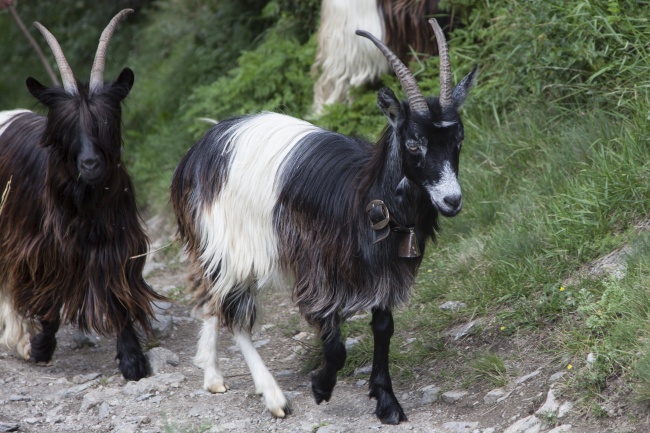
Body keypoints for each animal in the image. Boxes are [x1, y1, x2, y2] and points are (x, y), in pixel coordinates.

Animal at [0, 10, 162, 380]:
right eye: (66, 126)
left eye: (107, 122)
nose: (90, 164)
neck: (85, 204)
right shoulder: (42, 246)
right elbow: (46, 295)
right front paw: (39, 347)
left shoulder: (115, 242)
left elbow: (117, 294)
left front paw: (132, 359)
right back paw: (17, 337)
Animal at [172, 19, 476, 422]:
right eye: (413, 143)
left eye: (458, 139)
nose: (452, 200)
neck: (367, 196)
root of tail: (198, 149)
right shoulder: (318, 267)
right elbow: (334, 343)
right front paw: (321, 385)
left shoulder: (382, 267)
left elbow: (384, 327)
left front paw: (386, 401)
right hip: (233, 241)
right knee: (231, 309)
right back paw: (273, 396)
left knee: (211, 295)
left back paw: (212, 375)